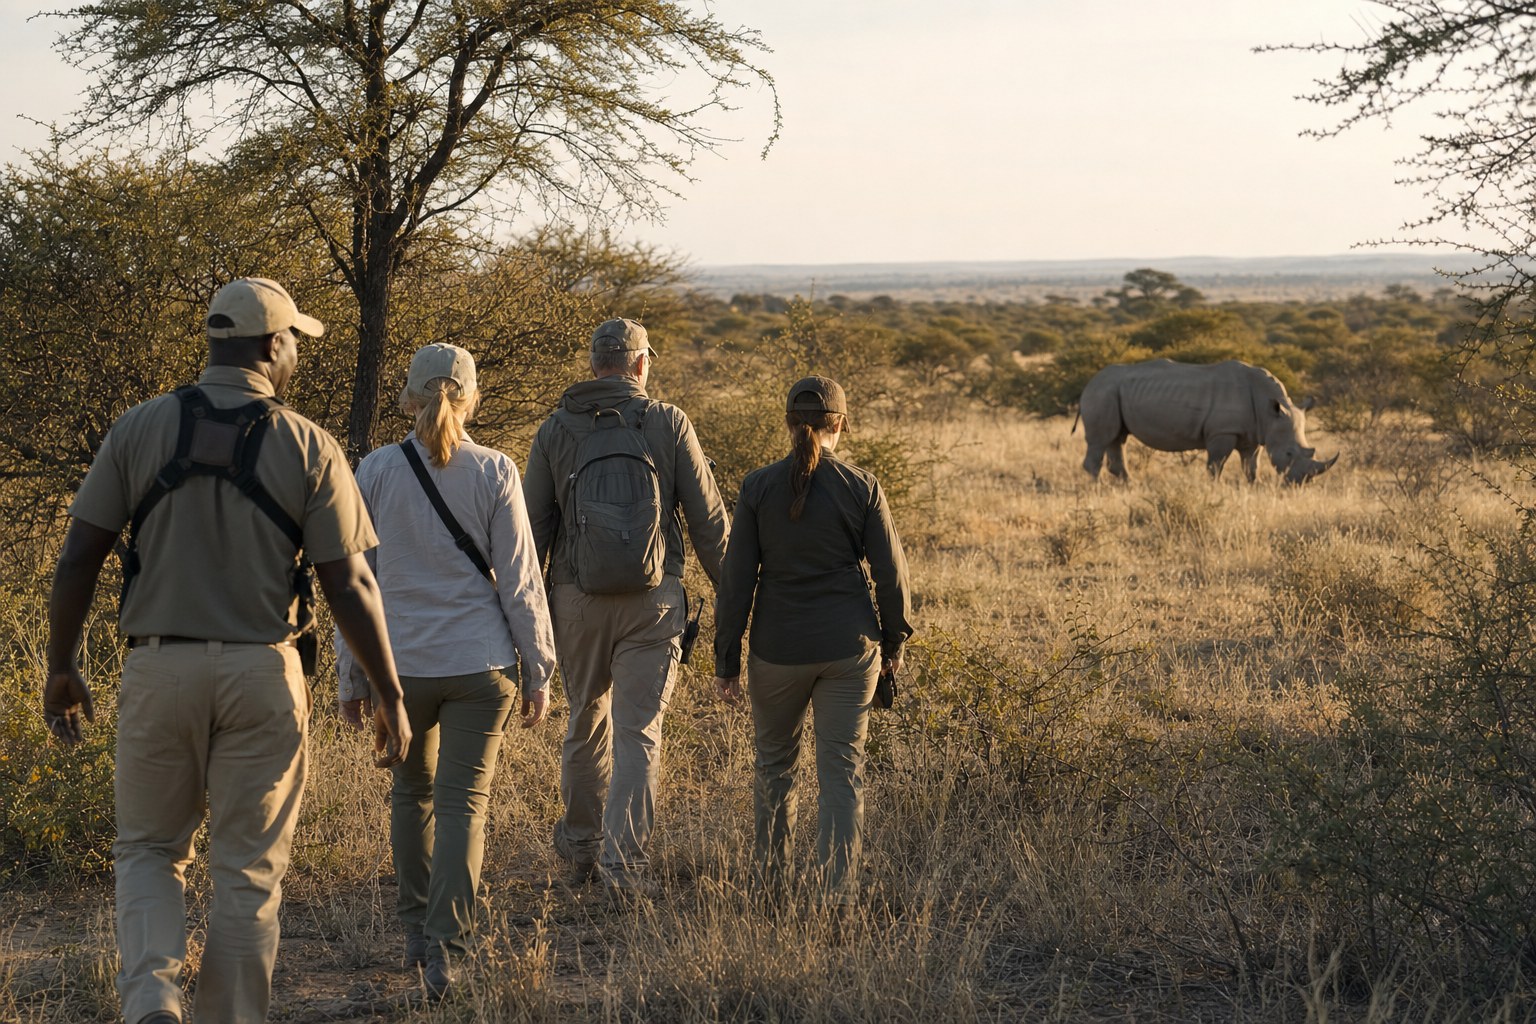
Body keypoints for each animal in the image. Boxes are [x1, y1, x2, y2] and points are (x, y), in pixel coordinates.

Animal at [1074, 358, 1337, 484]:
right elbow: (1216, 465)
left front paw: (1254, 486)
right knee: (1100, 441)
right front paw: (1215, 488)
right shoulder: (1222, 432)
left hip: (1111, 393)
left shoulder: (1254, 434)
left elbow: (1251, 466)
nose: (1300, 482)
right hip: (1102, 394)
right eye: (1290, 453)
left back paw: (1130, 486)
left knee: (1117, 439)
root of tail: (1086, 386)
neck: (1269, 408)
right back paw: (1098, 489)